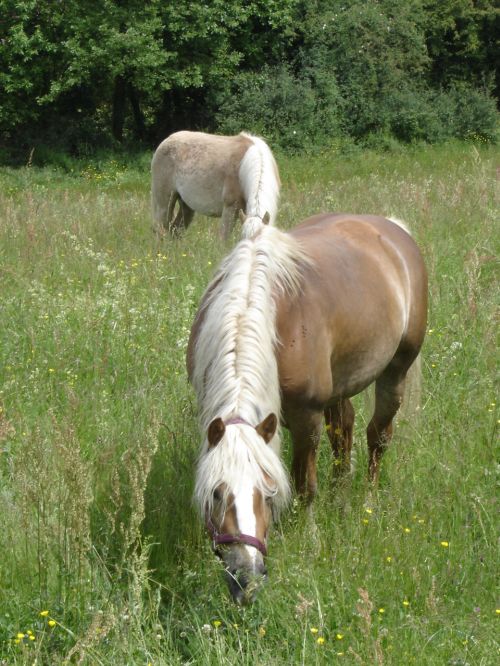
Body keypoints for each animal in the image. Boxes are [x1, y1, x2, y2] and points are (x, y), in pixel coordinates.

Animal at [148, 130, 282, 239]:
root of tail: (166, 140)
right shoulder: (230, 209)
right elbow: (223, 239)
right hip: (164, 202)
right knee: (160, 229)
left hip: (186, 206)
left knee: (176, 229)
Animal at [186, 213, 428, 600]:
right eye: (216, 493)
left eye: (268, 489)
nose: (247, 578)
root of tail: (393, 228)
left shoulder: (306, 418)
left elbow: (305, 486)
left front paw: (309, 540)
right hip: (340, 387)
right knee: (344, 434)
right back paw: (341, 499)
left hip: (396, 370)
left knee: (377, 436)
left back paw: (369, 503)